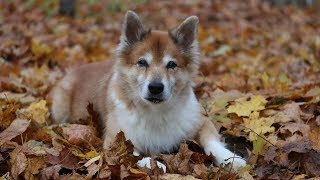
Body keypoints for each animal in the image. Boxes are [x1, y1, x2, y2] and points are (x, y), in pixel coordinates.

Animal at [51, 10, 246, 171]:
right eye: (142, 62)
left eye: (172, 64)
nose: (156, 87)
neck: (155, 111)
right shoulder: (114, 141)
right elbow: (131, 154)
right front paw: (154, 164)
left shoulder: (199, 120)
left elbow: (211, 140)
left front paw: (230, 159)